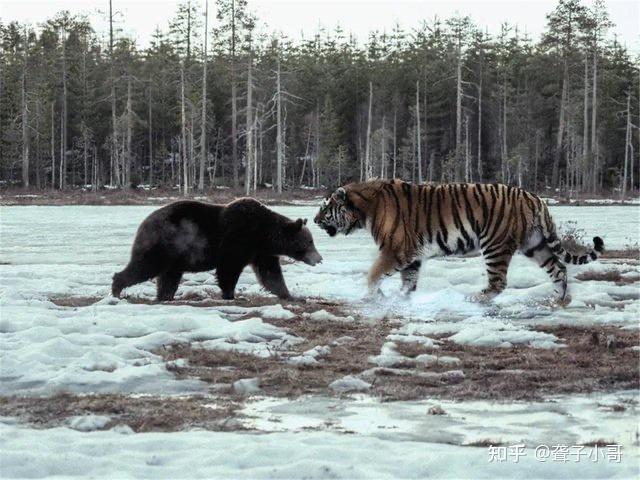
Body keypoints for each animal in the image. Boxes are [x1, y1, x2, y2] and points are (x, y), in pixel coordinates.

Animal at [110, 198, 322, 300]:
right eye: (310, 242)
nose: (319, 258)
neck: (264, 235)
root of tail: (143, 223)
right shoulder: (238, 238)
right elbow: (228, 269)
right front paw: (230, 295)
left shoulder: (261, 252)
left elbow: (271, 275)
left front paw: (291, 296)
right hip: (163, 244)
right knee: (144, 266)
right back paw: (117, 289)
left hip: (175, 255)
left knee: (168, 277)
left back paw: (165, 296)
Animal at [316, 180, 604, 304]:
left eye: (325, 207)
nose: (315, 219)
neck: (364, 210)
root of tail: (535, 198)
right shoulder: (411, 256)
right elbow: (408, 282)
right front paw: (401, 298)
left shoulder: (395, 250)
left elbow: (373, 274)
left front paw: (371, 296)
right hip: (534, 244)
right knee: (559, 269)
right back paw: (557, 299)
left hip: (495, 245)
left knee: (498, 282)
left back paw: (474, 298)